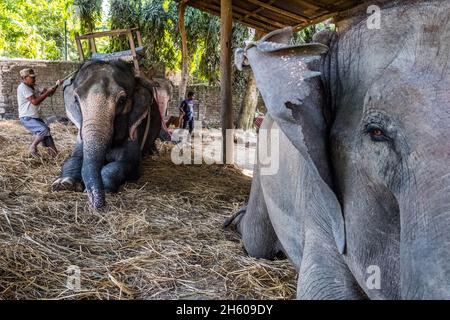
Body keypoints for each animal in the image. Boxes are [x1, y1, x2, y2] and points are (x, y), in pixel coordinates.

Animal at [52, 60, 162, 210]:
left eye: (122, 100)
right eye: (76, 99)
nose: (95, 204)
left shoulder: (134, 130)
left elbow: (126, 164)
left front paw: (104, 187)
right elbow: (74, 158)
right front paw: (63, 184)